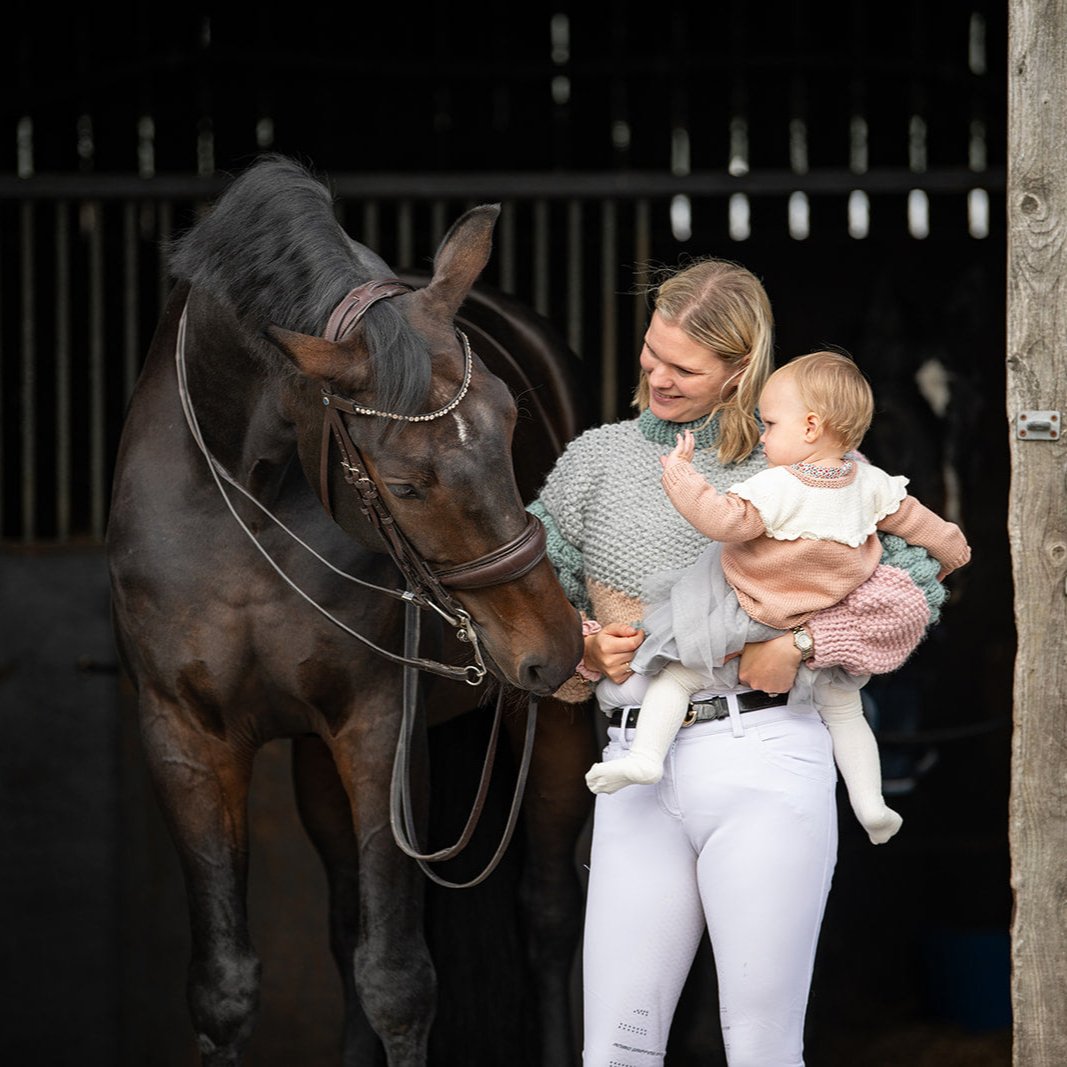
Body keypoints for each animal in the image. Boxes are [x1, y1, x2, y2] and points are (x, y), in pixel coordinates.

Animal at [104, 157, 588, 1067]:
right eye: (402, 484)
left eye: (512, 423)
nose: (556, 645)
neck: (243, 498)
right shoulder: (184, 736)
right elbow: (226, 985)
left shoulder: (377, 725)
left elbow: (397, 978)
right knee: (344, 924)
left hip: (551, 730)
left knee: (546, 917)